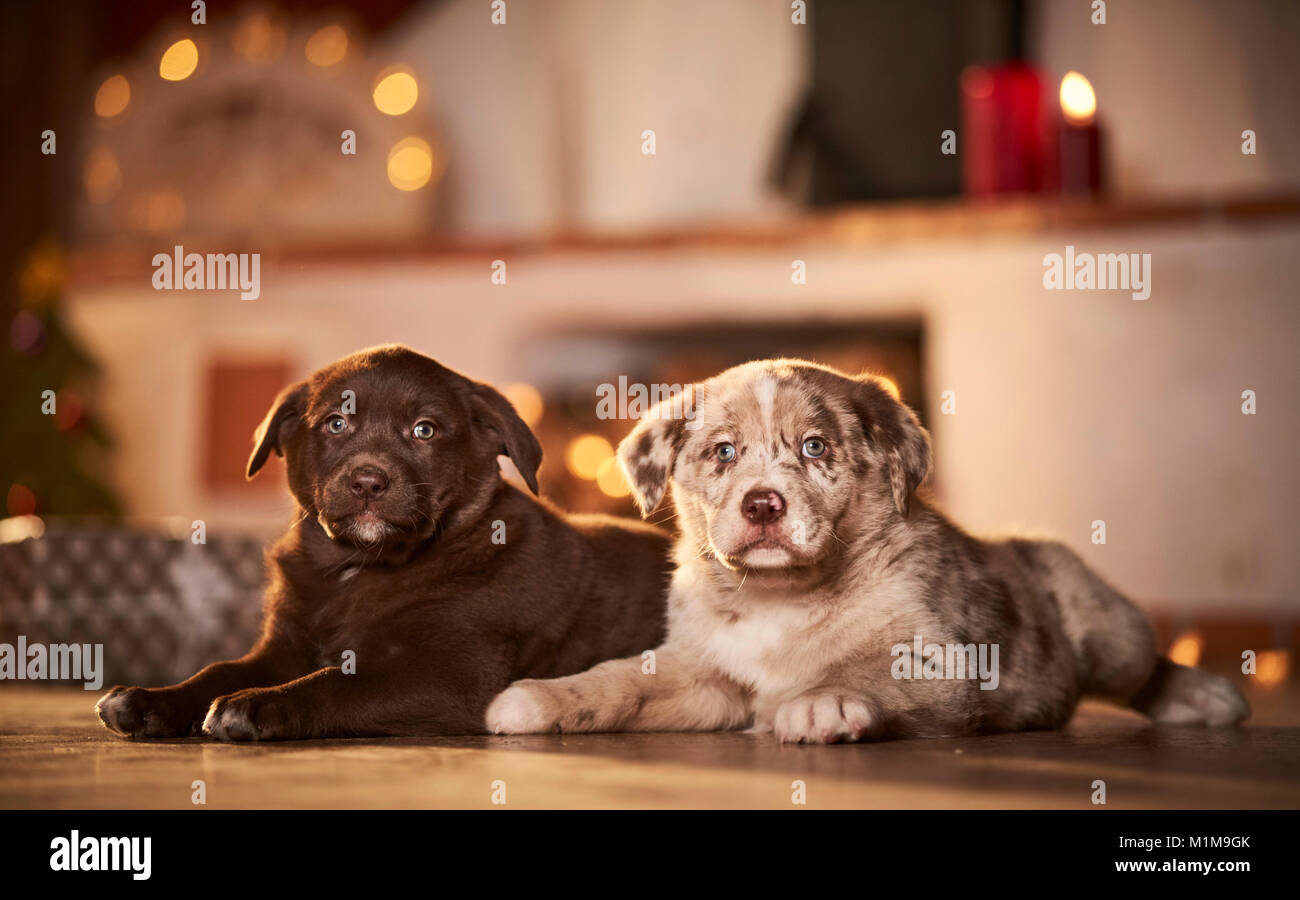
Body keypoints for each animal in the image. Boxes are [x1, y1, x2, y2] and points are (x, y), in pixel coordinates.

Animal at [94, 343, 670, 738]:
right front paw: (147, 701)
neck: (356, 568)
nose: (368, 481)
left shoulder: (452, 678)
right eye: (335, 424)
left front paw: (255, 705)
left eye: (425, 430)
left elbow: (338, 682)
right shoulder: (284, 646)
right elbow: (217, 669)